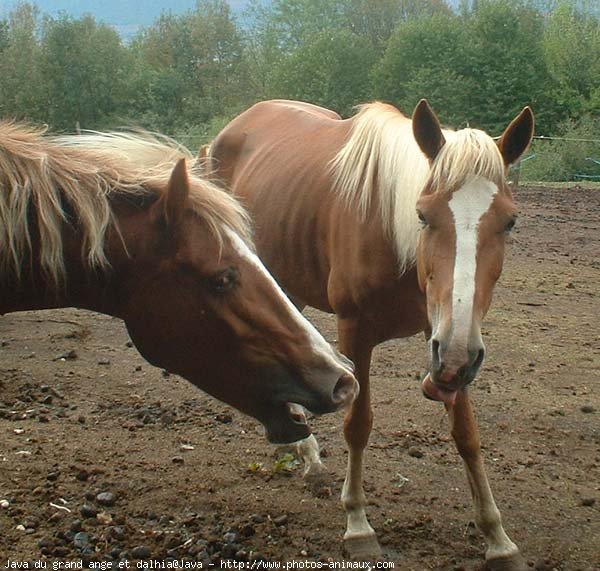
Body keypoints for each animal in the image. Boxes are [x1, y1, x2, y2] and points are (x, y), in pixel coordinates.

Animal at [210, 100, 536, 568]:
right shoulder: (357, 333)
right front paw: (358, 523)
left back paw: (305, 453)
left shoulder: (445, 337)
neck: (390, 232)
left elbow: (467, 434)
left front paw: (497, 537)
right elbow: (358, 425)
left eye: (509, 222)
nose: (458, 359)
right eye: (423, 215)